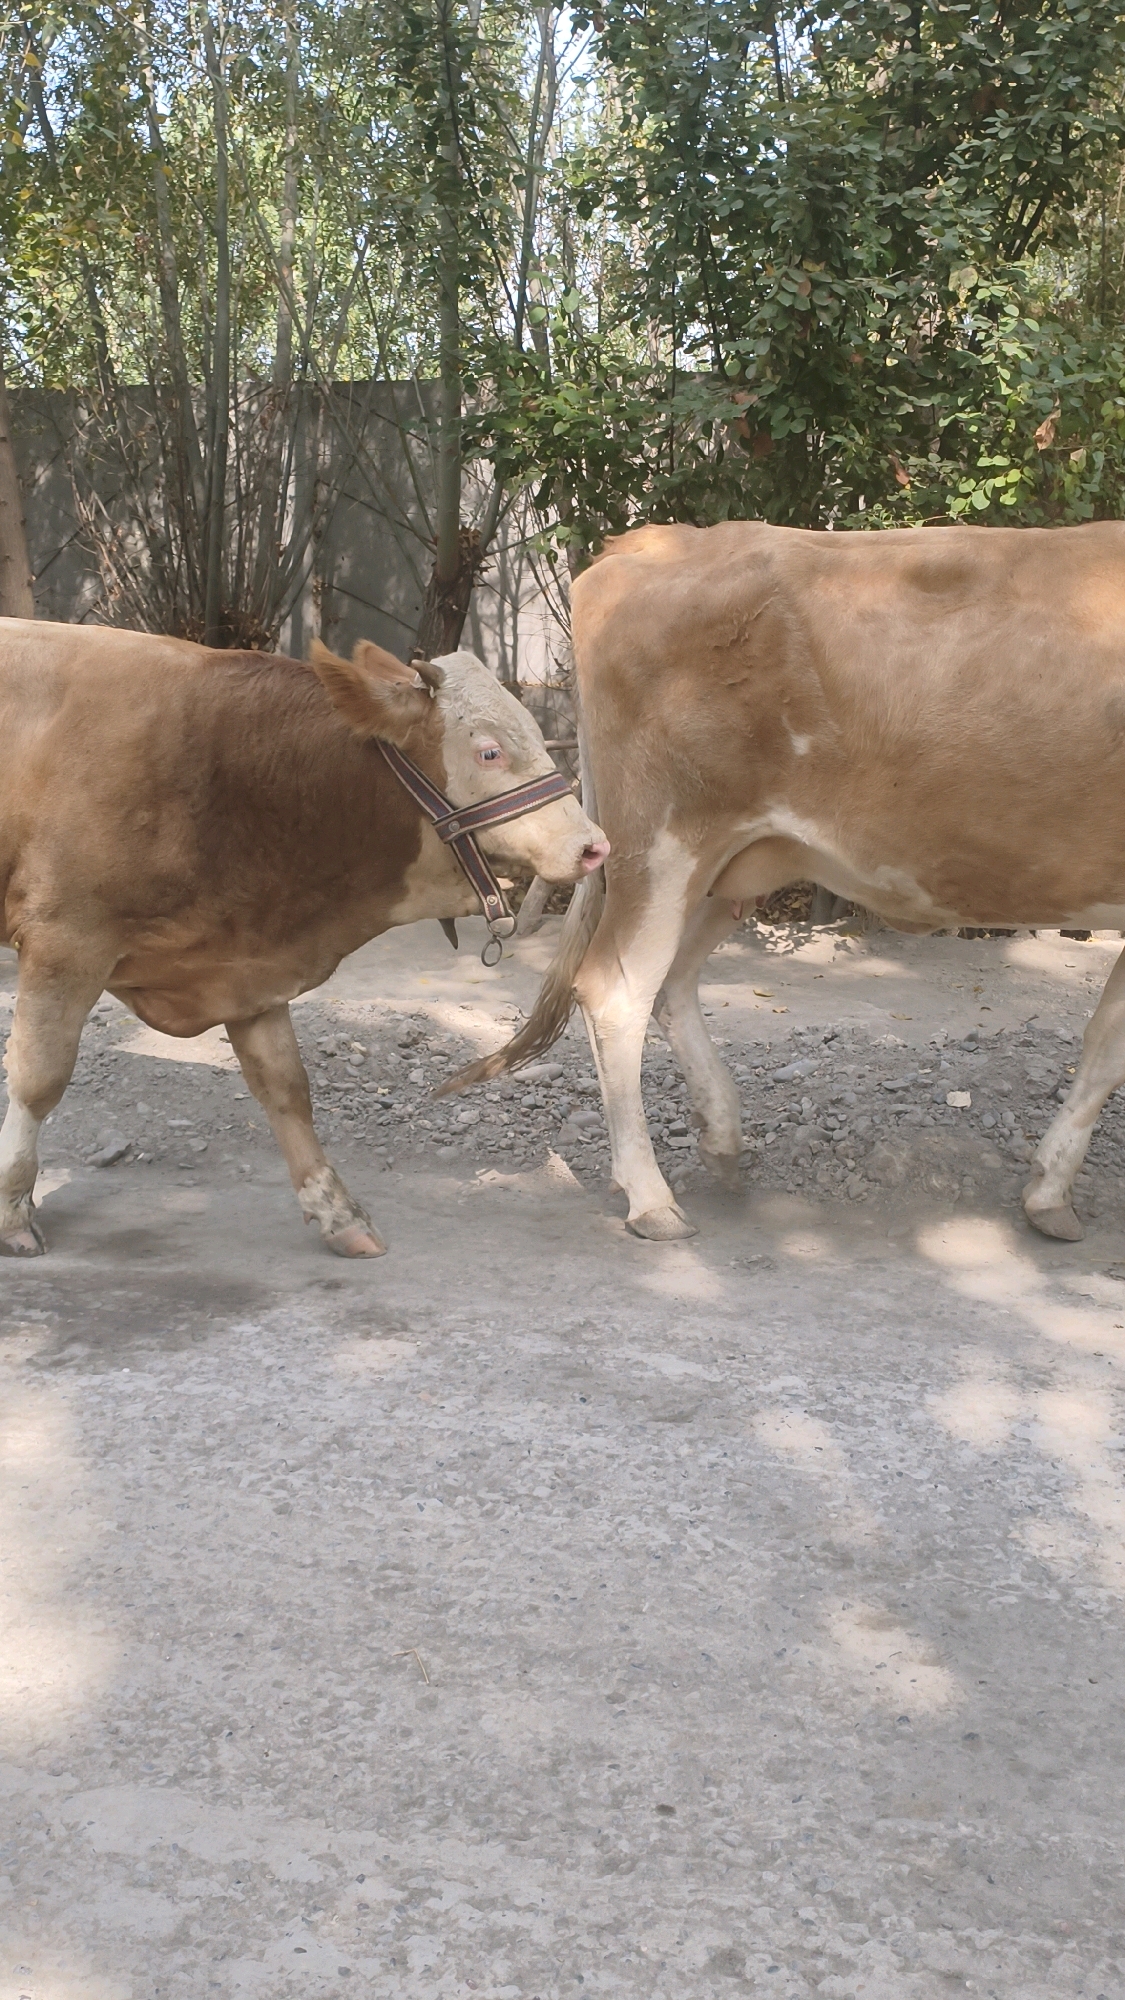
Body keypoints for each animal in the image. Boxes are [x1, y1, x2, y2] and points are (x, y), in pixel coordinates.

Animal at [0, 620, 608, 1257]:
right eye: (489, 751)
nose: (594, 845)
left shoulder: (249, 968)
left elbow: (286, 1086)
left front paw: (338, 1211)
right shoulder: (66, 941)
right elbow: (38, 1078)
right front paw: (13, 1210)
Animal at [445, 518, 1125, 1246]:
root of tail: (652, 540)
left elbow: (1106, 1045)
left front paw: (1049, 1191)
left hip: (738, 862)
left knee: (672, 983)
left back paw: (720, 1136)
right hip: (664, 845)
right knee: (615, 991)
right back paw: (650, 1196)